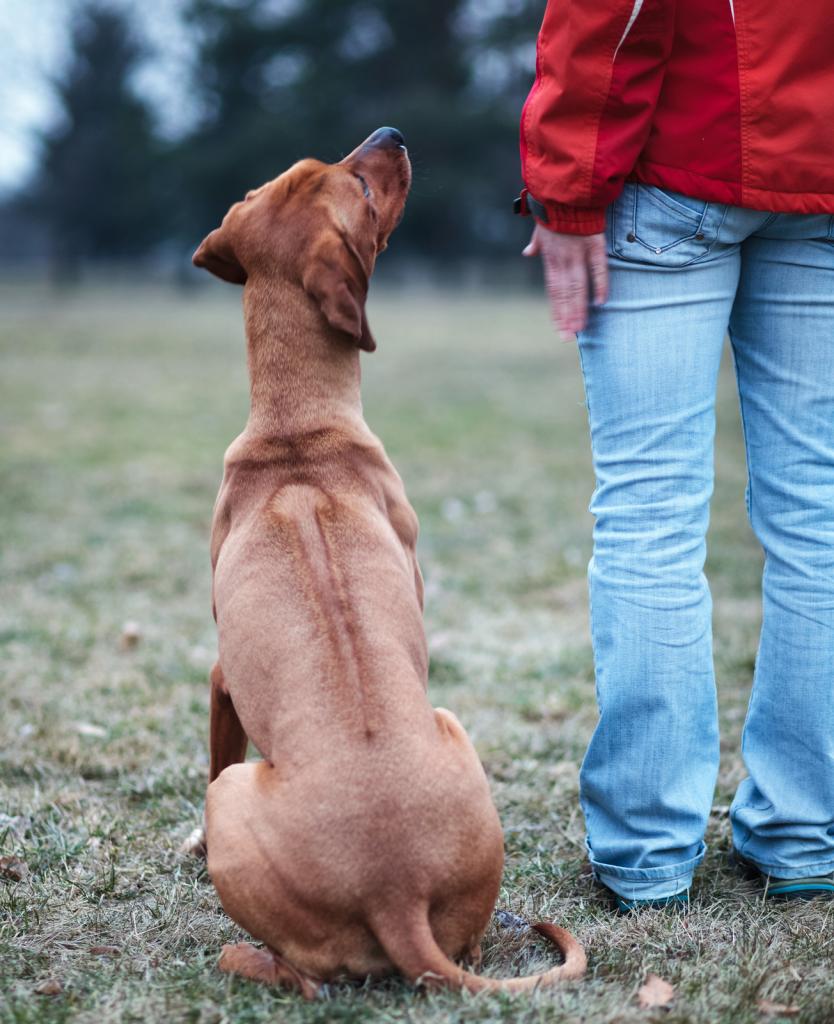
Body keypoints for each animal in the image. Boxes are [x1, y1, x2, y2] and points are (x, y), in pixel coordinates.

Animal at [190, 123, 586, 995]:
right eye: (361, 188)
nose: (392, 134)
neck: (296, 429)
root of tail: (394, 891)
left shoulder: (221, 678)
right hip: (447, 735)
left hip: (251, 792)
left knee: (304, 975)